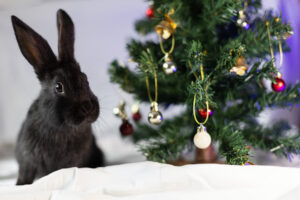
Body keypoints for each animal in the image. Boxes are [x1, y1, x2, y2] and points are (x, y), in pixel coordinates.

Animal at [11, 9, 105, 184]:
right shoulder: (27, 161)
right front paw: (20, 185)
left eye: (85, 79)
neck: (63, 130)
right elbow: (24, 176)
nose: (87, 107)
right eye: (58, 87)